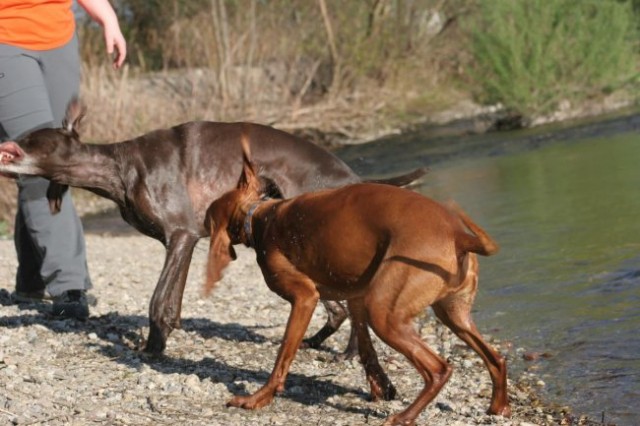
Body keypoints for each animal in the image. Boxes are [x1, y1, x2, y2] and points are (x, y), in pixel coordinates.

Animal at [205, 138, 510, 424]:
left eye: (209, 217)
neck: (260, 215)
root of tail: (458, 235)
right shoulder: (356, 298)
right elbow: (366, 350)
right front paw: (381, 388)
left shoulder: (305, 298)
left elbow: (283, 356)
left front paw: (258, 398)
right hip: (452, 315)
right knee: (495, 358)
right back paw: (498, 407)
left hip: (385, 314)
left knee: (439, 369)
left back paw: (405, 416)